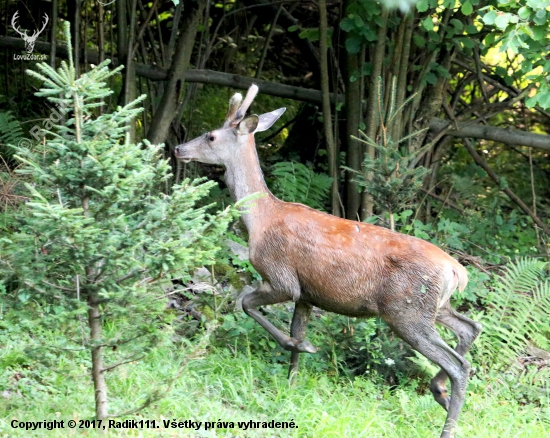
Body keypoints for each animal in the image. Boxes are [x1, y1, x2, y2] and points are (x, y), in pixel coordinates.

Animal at [176, 85, 484, 438]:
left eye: (211, 136)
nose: (179, 148)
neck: (259, 221)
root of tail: (457, 271)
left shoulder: (282, 277)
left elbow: (245, 303)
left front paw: (300, 348)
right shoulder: (308, 295)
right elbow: (295, 331)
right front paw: (292, 380)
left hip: (406, 312)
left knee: (459, 365)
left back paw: (448, 423)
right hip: (434, 307)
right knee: (470, 328)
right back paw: (440, 393)